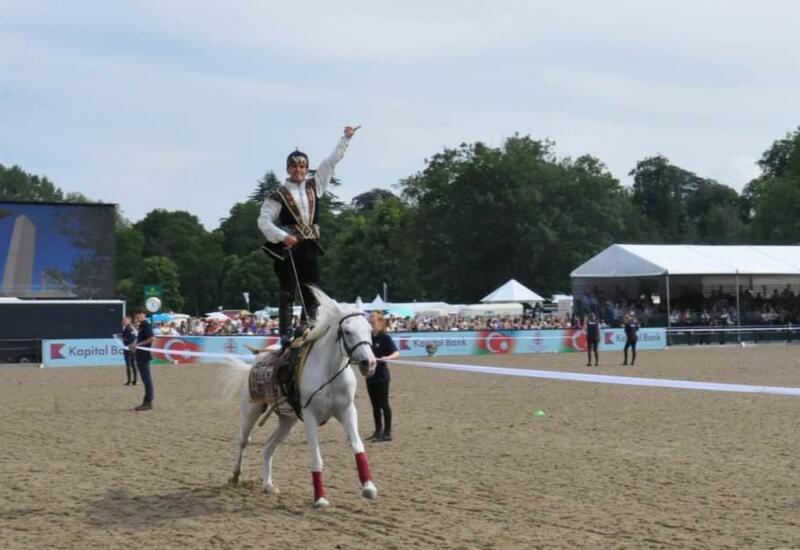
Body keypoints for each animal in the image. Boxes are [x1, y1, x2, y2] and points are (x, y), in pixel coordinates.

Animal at [222, 288, 378, 508]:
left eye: (369, 329)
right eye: (347, 331)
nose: (369, 363)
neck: (329, 373)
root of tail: (255, 362)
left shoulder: (347, 411)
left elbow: (358, 447)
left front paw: (369, 487)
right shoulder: (311, 416)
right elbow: (316, 458)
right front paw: (320, 498)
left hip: (287, 421)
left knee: (268, 448)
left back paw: (268, 485)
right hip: (251, 412)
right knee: (244, 441)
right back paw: (235, 476)